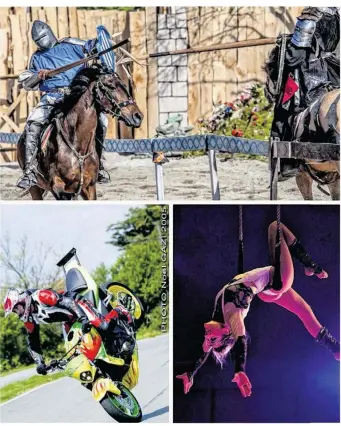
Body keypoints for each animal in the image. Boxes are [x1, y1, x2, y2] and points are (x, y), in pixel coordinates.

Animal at [17, 66, 142, 200]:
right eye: (111, 86)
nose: (138, 116)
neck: (78, 147)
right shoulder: (60, 190)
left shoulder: (88, 187)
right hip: (35, 188)